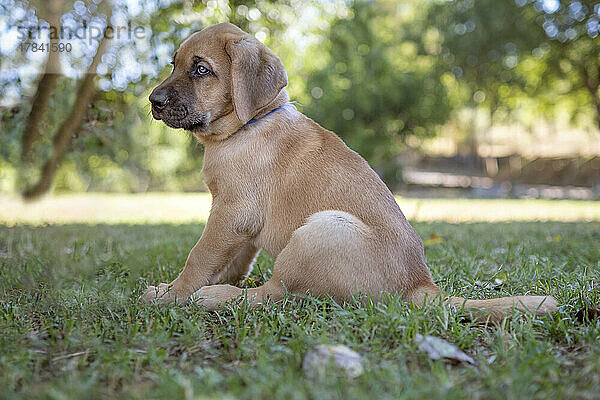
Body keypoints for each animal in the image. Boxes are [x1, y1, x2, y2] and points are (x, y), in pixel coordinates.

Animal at [142, 22, 556, 322]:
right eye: (174, 65)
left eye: (201, 70)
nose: (153, 100)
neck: (249, 125)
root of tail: (420, 286)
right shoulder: (243, 223)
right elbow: (234, 261)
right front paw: (211, 280)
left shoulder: (231, 211)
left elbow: (199, 257)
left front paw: (174, 293)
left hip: (322, 230)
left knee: (274, 294)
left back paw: (214, 297)